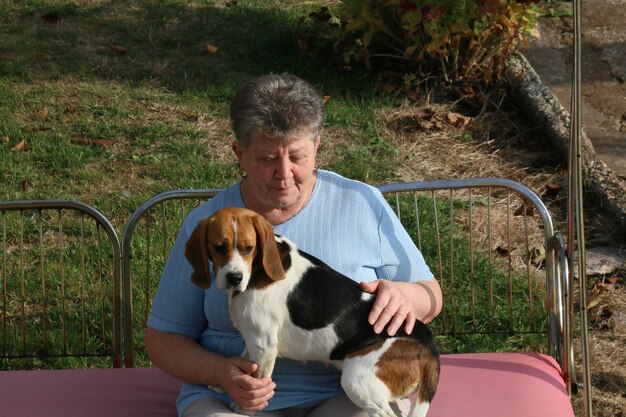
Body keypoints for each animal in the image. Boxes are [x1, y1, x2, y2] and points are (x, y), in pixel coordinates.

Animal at [185, 206, 438, 414]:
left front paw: (244, 410)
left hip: (357, 381)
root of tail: (430, 348)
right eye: (218, 248)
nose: (234, 278)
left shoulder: (264, 345)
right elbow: (245, 364)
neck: (257, 272)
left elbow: (257, 381)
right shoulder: (254, 339)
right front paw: (225, 382)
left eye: (249, 248)